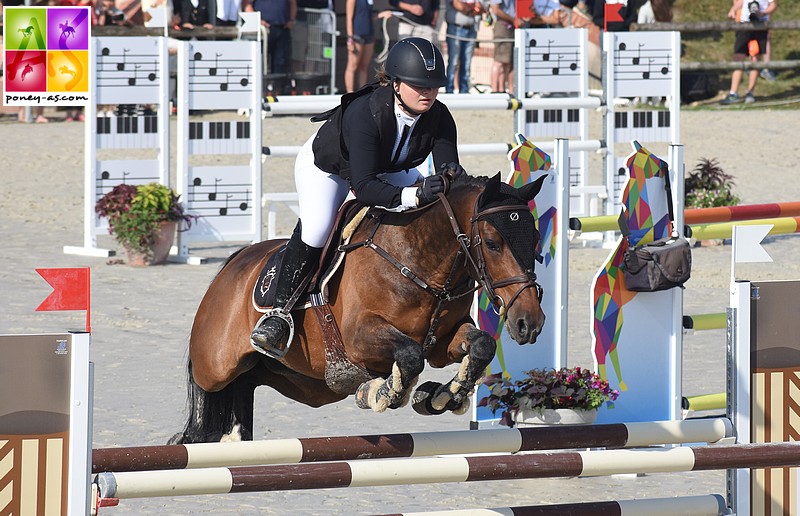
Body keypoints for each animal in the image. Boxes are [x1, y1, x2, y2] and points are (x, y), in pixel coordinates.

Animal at [171, 173, 548, 444]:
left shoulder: (444, 344)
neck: (419, 262)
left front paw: (442, 396)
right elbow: (410, 356)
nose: (530, 323)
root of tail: (234, 263)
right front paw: (379, 392)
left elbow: (481, 346)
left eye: (536, 238)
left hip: (298, 380)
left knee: (246, 384)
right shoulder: (359, 339)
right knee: (205, 395)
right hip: (216, 365)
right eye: (493, 243)